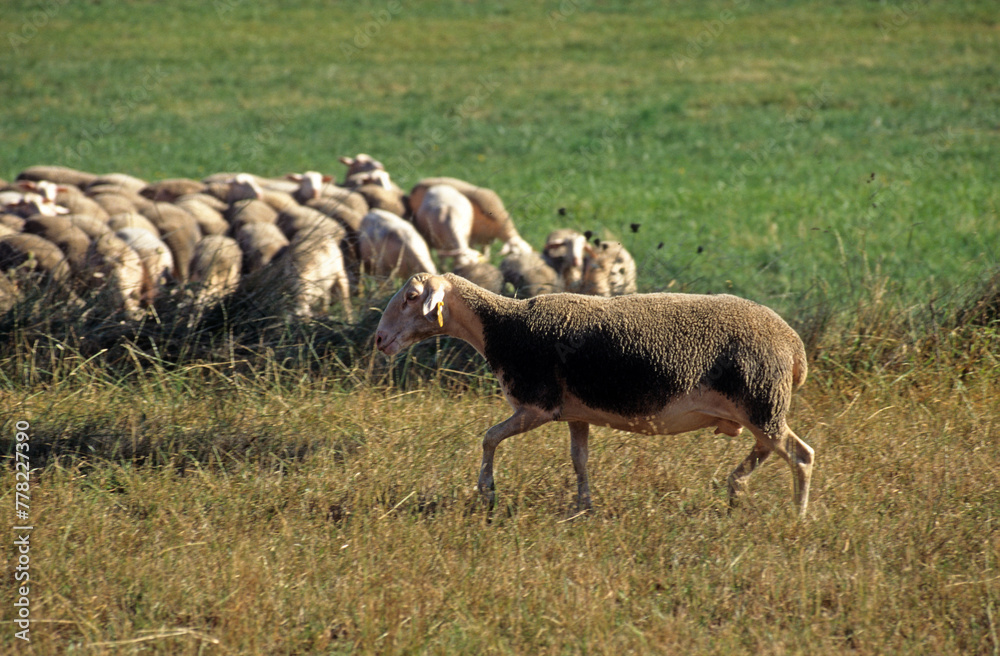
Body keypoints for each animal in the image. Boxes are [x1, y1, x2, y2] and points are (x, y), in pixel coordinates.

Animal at [374, 273, 814, 516]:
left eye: (411, 298)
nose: (378, 340)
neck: (500, 327)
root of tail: (794, 347)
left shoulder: (536, 405)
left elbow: (489, 438)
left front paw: (487, 492)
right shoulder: (574, 413)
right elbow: (579, 459)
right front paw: (583, 506)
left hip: (760, 400)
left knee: (799, 455)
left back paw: (794, 514)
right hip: (759, 407)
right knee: (769, 449)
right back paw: (738, 488)